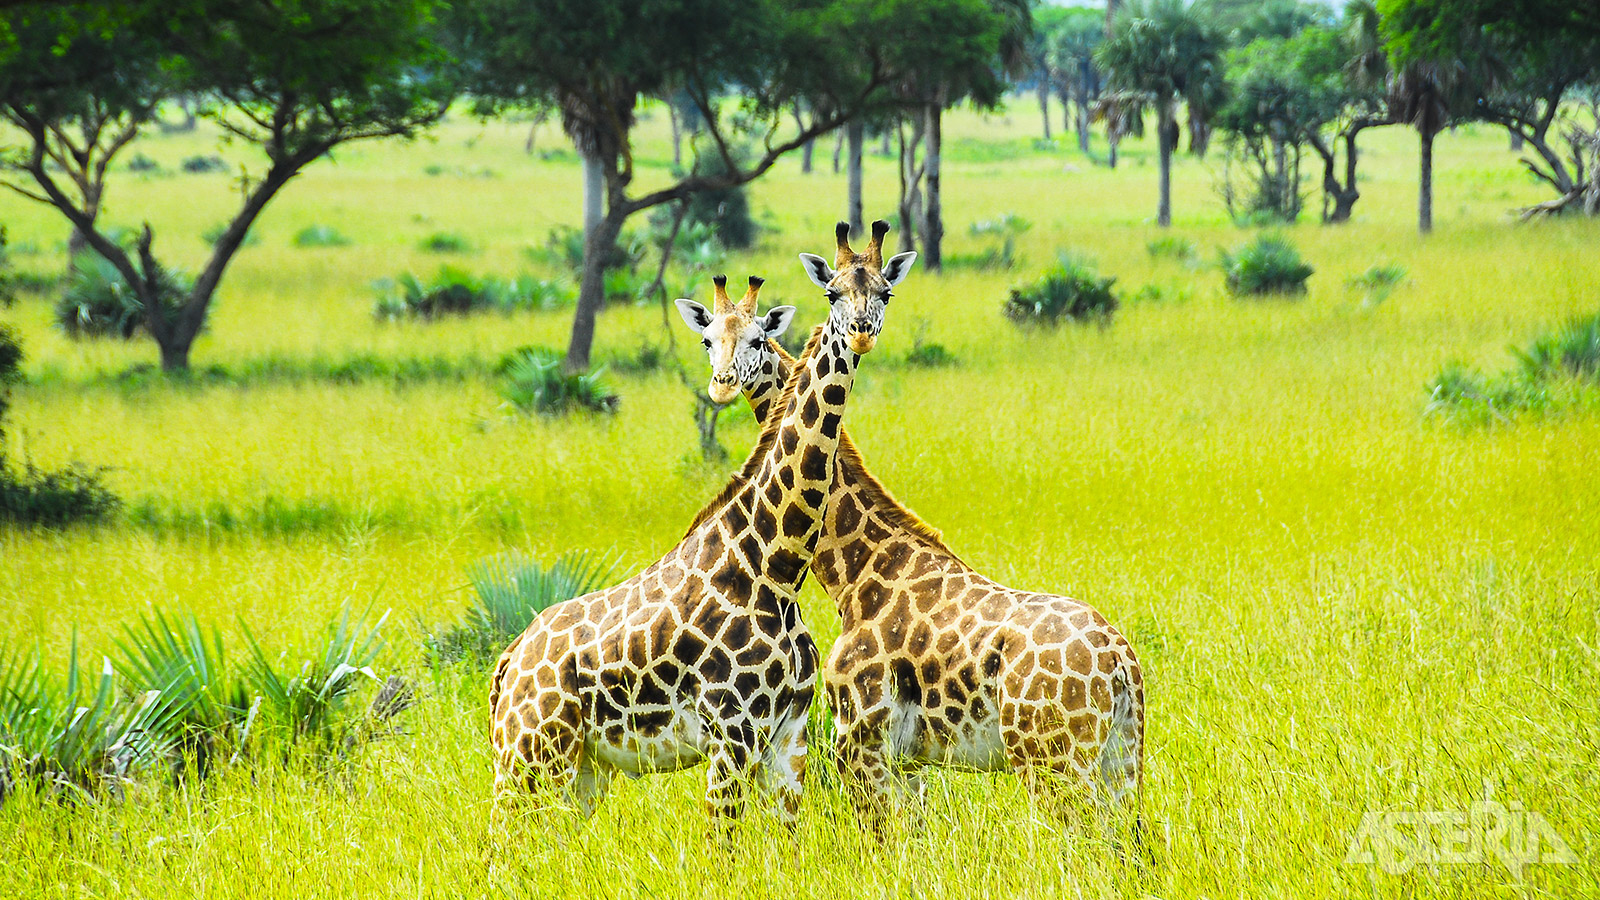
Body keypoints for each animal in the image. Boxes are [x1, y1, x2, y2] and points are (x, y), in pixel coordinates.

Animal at [486, 222, 908, 819]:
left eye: (884, 292)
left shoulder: (788, 738)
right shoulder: (732, 732)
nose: (861, 335)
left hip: (578, 769)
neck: (776, 567)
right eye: (833, 294)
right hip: (527, 754)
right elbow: (721, 840)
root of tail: (507, 663)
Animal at [672, 230, 1139, 832]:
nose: (723, 385)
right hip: (1121, 760)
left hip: (1051, 759)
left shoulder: (857, 740)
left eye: (757, 339)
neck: (854, 574)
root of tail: (1119, 660)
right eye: (708, 339)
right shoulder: (909, 760)